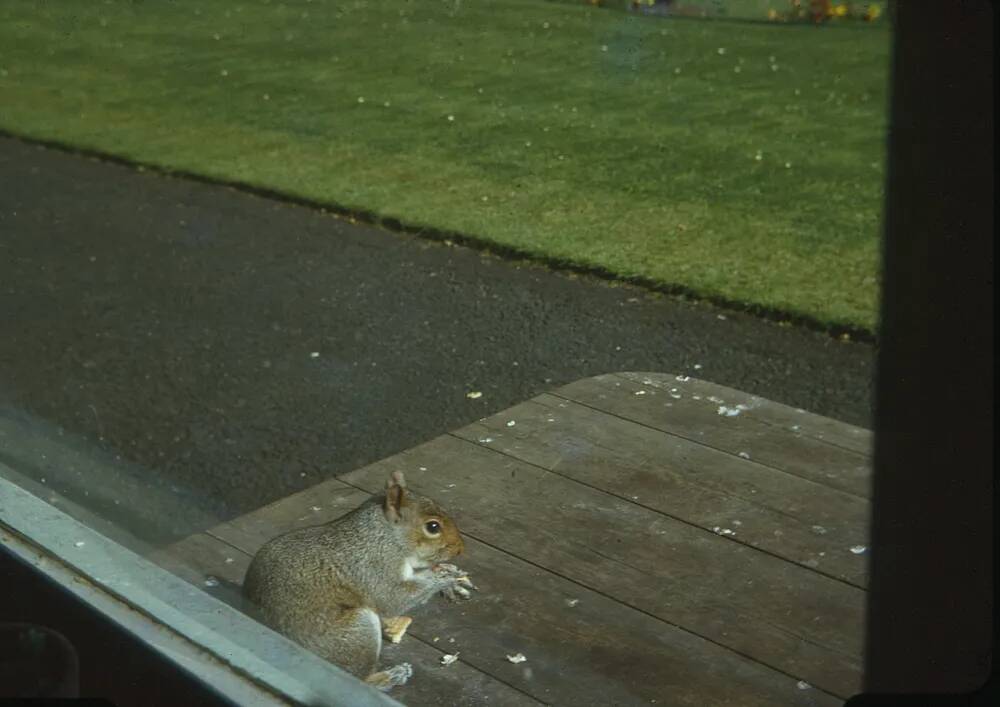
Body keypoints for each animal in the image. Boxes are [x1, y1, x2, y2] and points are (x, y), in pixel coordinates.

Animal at [242, 470, 476, 692]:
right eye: (433, 527)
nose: (460, 548)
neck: (385, 536)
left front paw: (452, 579)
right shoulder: (374, 567)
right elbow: (394, 599)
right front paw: (446, 577)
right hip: (356, 633)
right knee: (359, 678)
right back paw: (390, 676)